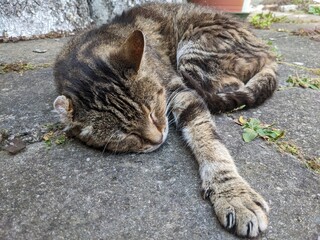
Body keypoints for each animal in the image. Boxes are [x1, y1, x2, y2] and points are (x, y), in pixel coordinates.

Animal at [53, 2, 278, 238]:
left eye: (152, 110)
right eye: (126, 134)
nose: (158, 138)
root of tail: (266, 49)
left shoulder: (180, 91)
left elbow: (211, 145)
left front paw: (234, 194)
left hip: (192, 53)